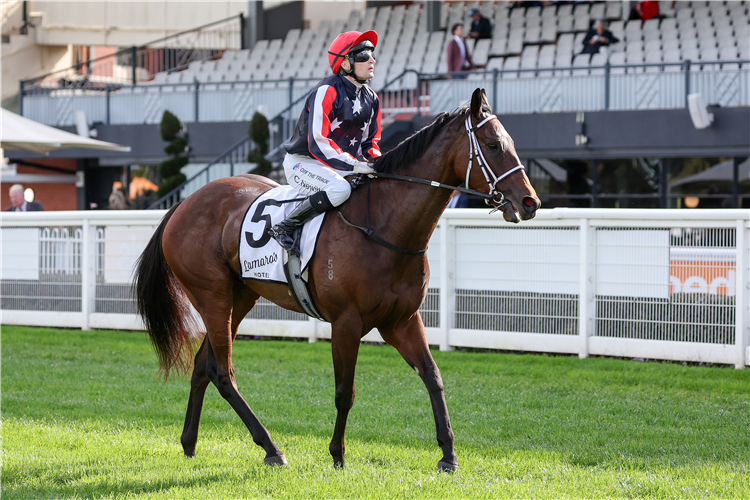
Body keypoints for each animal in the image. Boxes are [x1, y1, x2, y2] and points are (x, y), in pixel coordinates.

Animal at [134, 89, 540, 472]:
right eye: (493, 145)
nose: (530, 202)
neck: (384, 226)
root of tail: (183, 203)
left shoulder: (402, 320)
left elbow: (433, 376)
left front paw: (448, 455)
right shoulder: (346, 323)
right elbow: (345, 391)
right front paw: (338, 454)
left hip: (240, 297)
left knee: (203, 365)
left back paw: (190, 442)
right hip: (213, 296)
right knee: (222, 371)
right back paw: (271, 448)